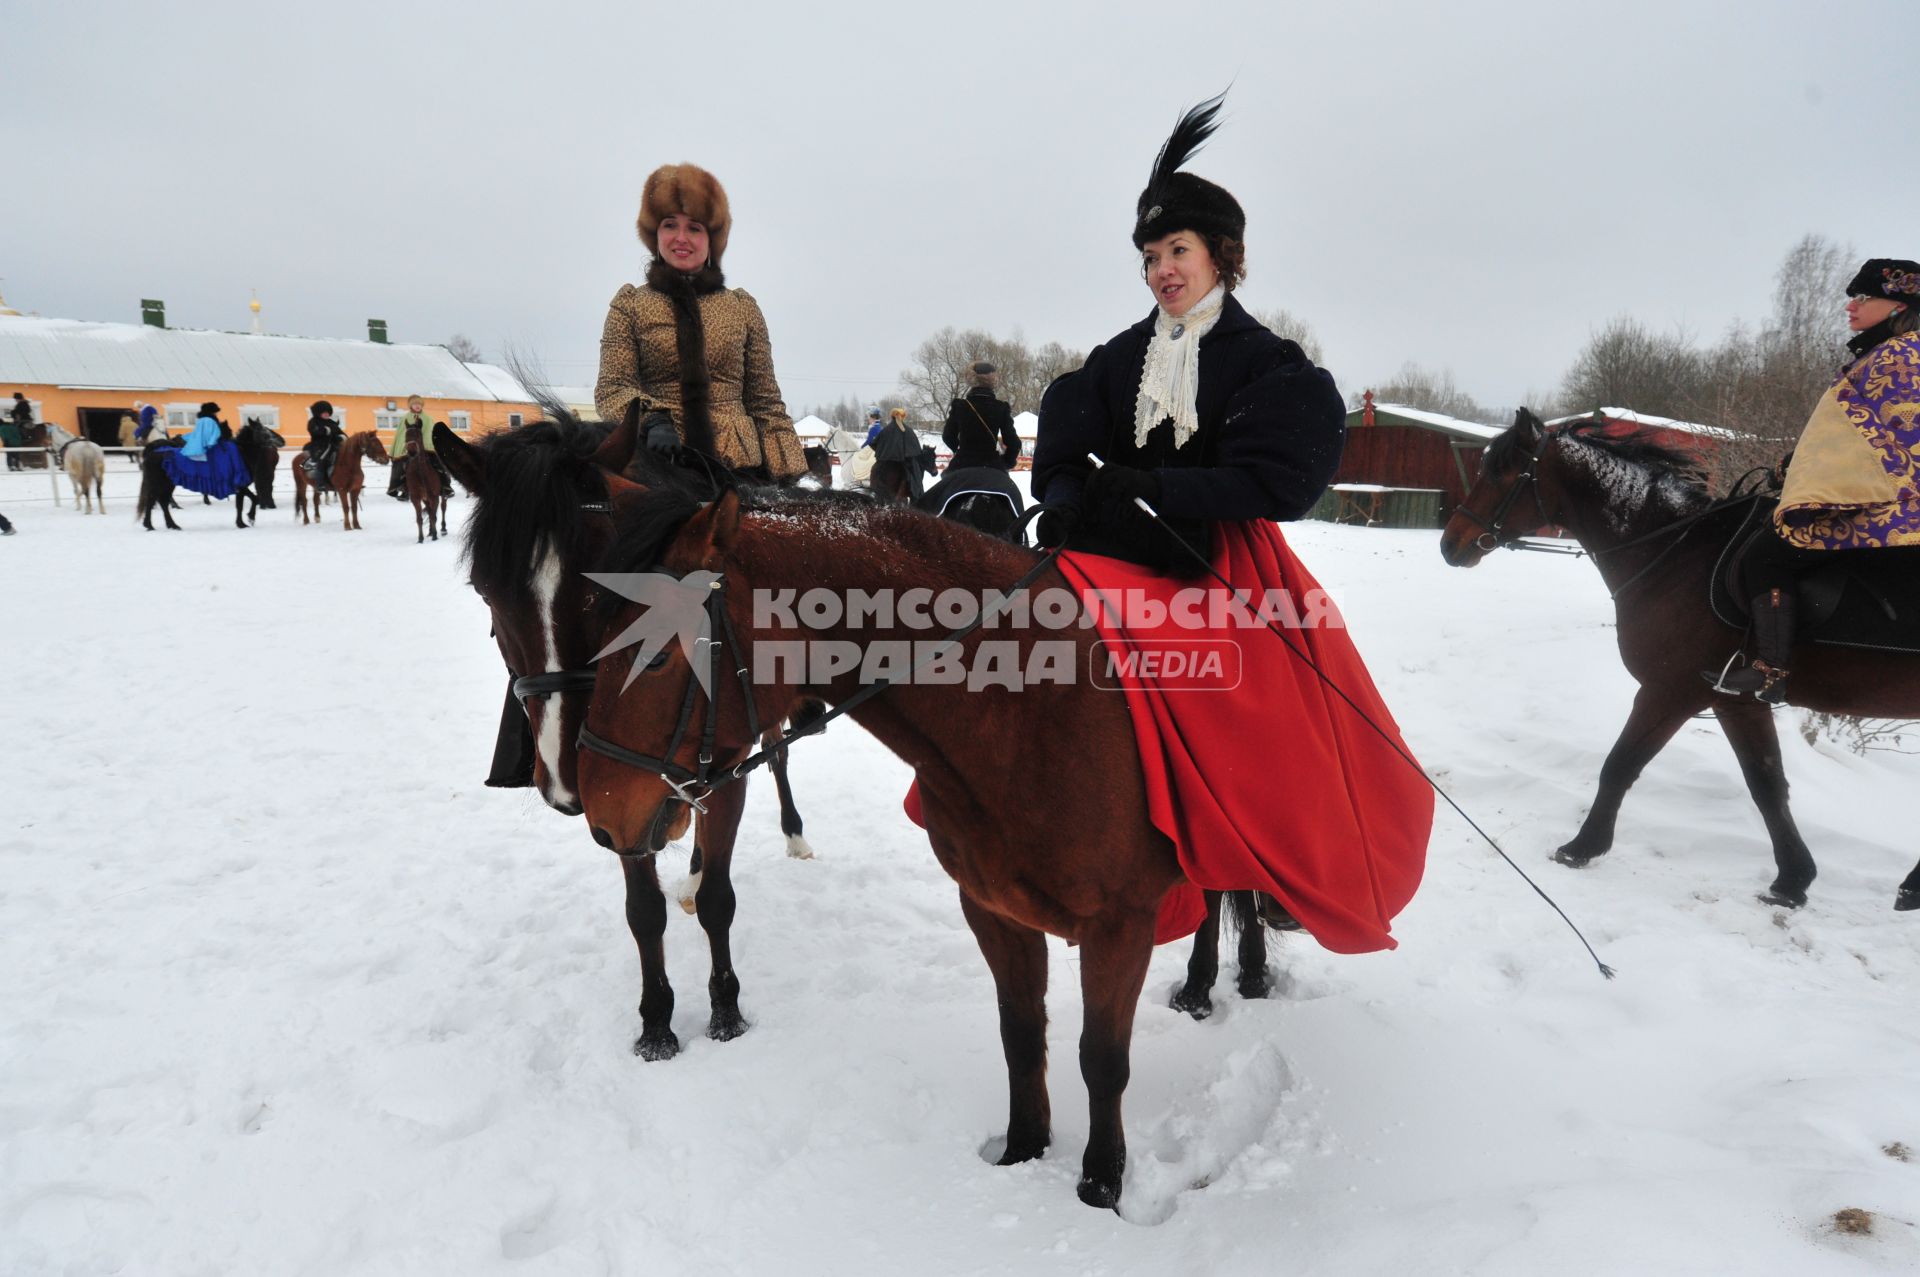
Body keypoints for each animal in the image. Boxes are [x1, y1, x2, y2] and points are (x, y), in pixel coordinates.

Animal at [568, 485, 1205, 1205]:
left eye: (655, 655)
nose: (601, 815)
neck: (1035, 709)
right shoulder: (994, 909)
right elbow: (1020, 1033)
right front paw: (1021, 1151)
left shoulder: (1120, 924)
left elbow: (1101, 1059)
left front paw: (1099, 1185)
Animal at [1443, 409, 1920, 906]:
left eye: (1500, 472)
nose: (1449, 544)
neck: (1677, 553)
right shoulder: (1736, 701)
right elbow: (1766, 784)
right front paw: (1793, 879)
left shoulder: (1669, 692)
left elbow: (1620, 765)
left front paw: (1582, 847)